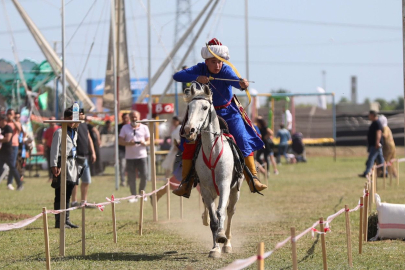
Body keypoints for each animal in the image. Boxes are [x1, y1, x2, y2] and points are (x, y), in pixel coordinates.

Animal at [184, 85, 243, 258]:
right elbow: (213, 219)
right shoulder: (206, 189)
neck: (212, 151)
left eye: (204, 107)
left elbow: (221, 212)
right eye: (189, 107)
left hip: (235, 191)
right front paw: (215, 248)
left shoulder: (224, 185)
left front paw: (222, 238)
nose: (189, 129)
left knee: (230, 212)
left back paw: (227, 243)